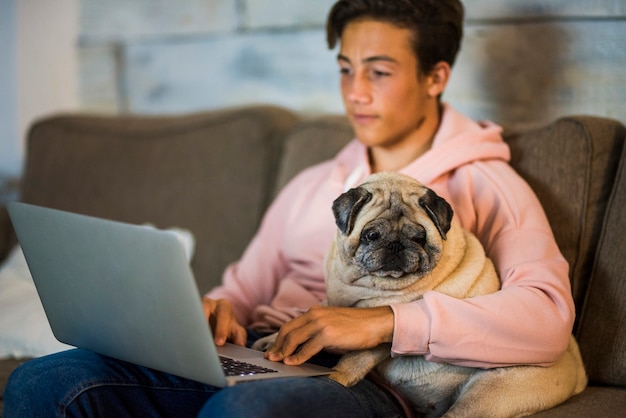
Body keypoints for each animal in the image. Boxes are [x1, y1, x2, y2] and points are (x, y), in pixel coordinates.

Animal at [324, 171, 588, 416]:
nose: (396, 245)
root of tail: (577, 373)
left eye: (419, 238)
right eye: (371, 235)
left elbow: (355, 357)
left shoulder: (380, 336)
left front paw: (336, 376)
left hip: (488, 392)